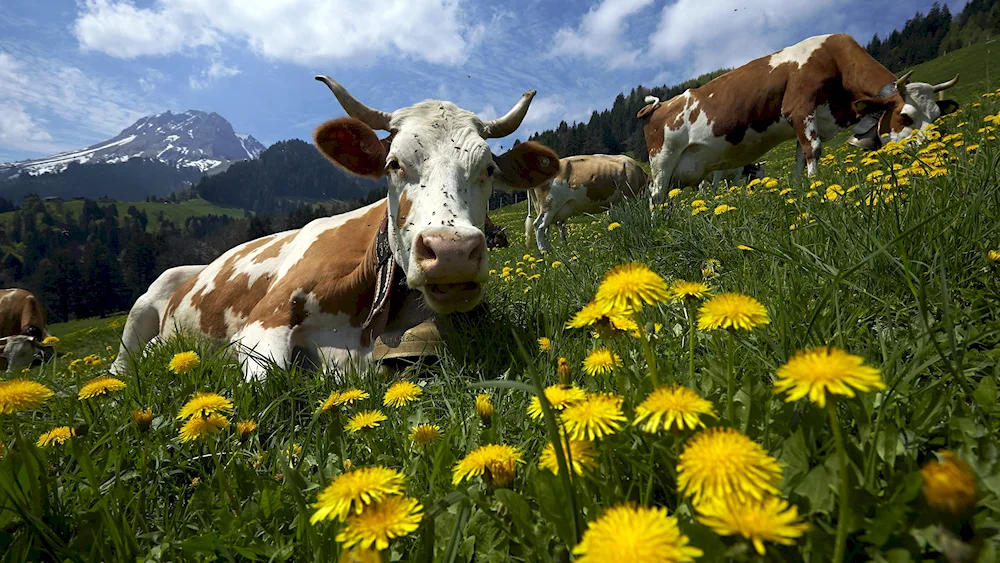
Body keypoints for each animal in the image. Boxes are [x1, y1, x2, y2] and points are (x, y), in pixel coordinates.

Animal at [114, 77, 564, 382]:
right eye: (393, 164)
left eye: (487, 169)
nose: (451, 252)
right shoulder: (263, 321)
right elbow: (268, 381)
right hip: (144, 306)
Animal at [640, 33, 960, 203]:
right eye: (905, 116)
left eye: (936, 115)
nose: (928, 148)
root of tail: (660, 105)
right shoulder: (799, 107)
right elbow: (813, 150)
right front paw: (816, 187)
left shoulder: (811, 120)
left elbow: (800, 156)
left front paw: (798, 188)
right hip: (662, 159)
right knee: (655, 195)